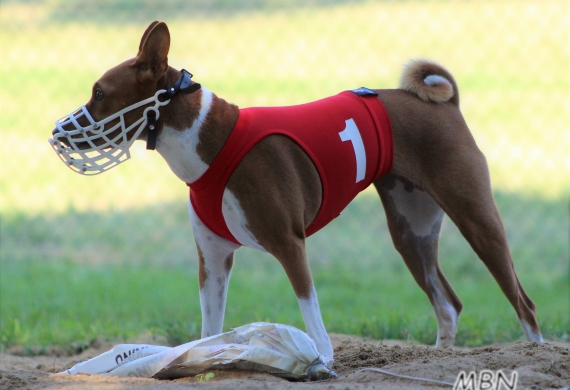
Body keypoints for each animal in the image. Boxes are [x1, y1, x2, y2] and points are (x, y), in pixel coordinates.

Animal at [50, 20, 540, 368]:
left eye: (99, 93)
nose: (57, 132)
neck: (211, 144)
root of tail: (442, 104)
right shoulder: (213, 261)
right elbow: (210, 329)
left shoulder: (290, 245)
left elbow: (312, 315)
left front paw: (322, 361)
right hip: (411, 231)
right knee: (448, 305)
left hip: (476, 218)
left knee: (524, 304)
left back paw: (534, 352)